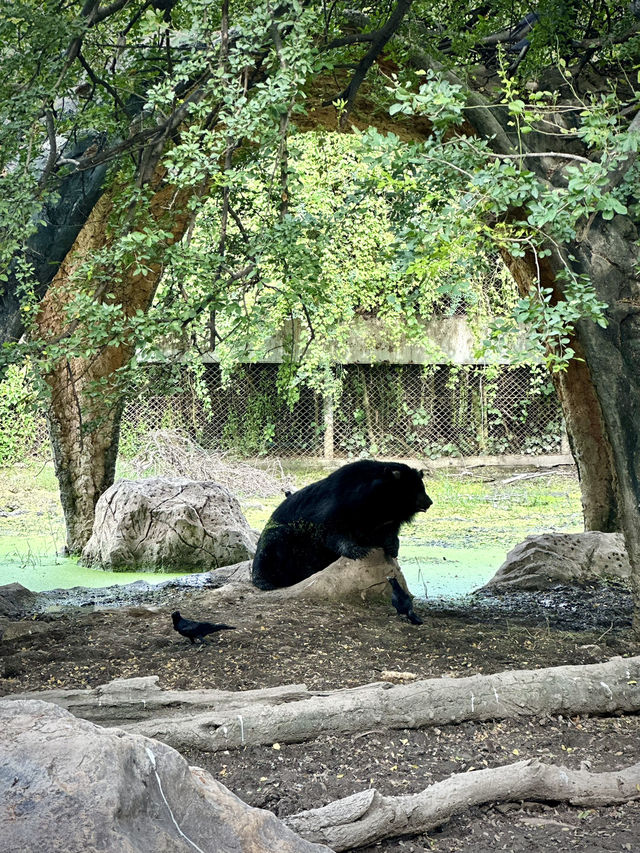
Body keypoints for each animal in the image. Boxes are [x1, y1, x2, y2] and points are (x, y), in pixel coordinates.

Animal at [250, 462, 430, 588]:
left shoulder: (382, 521)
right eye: (417, 490)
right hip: (280, 538)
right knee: (270, 551)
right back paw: (265, 582)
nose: (429, 502)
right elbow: (333, 534)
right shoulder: (338, 509)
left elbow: (386, 534)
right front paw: (358, 551)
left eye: (422, 488)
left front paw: (392, 547)